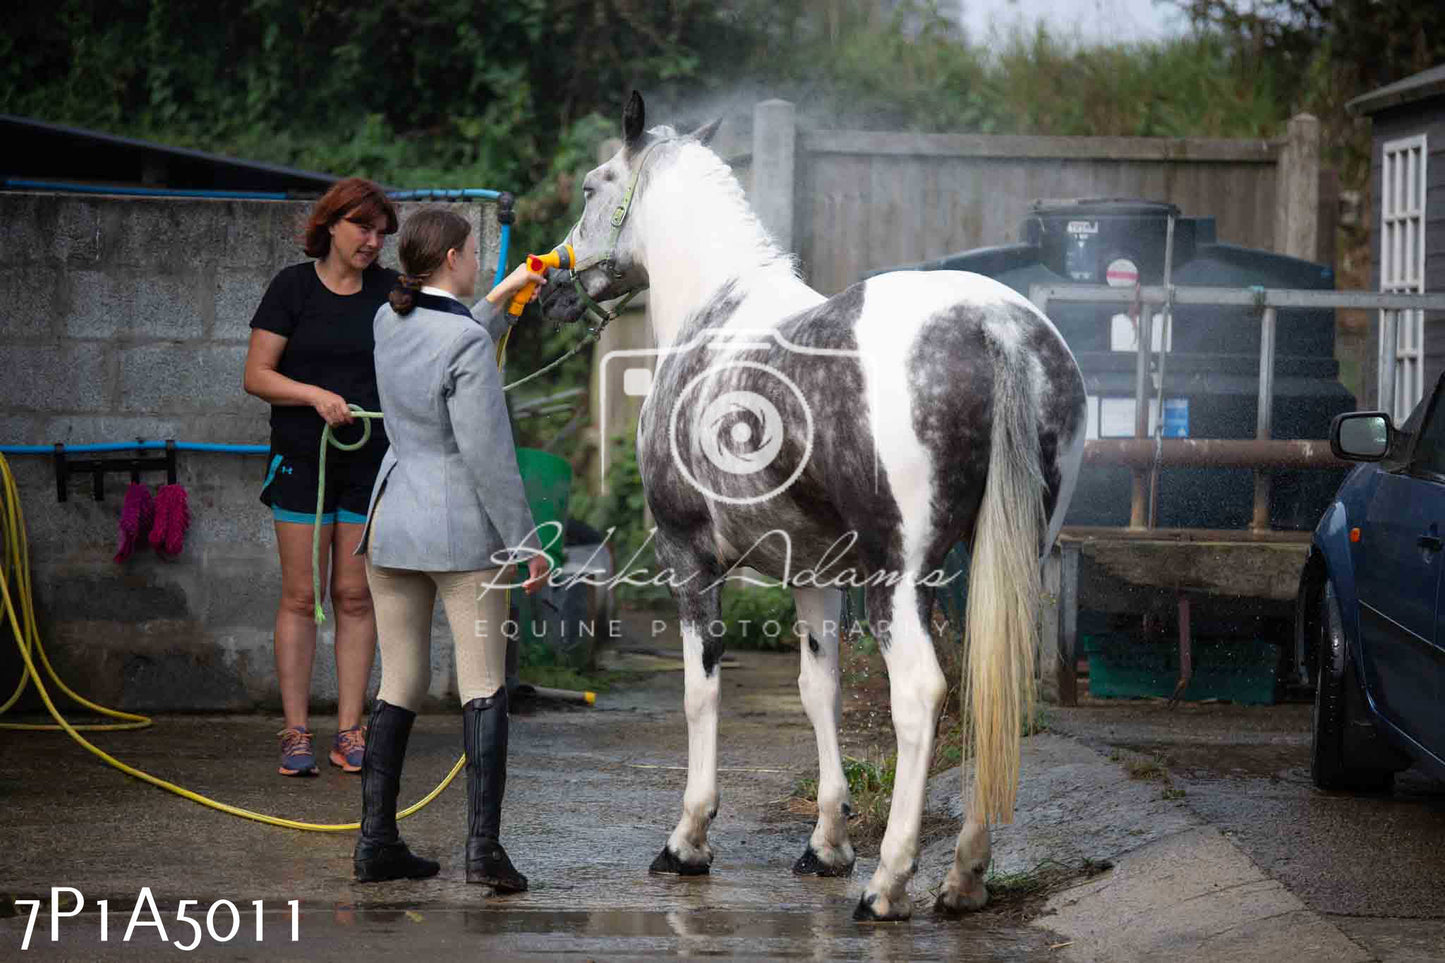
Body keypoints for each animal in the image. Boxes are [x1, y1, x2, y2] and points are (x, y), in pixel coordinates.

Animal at [543, 93, 1086, 919]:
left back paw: (890, 883)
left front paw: (688, 840)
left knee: (921, 694)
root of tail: (990, 326)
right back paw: (962, 878)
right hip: (1010, 561)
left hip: (901, 580)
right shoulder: (813, 573)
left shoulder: (688, 559)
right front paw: (826, 842)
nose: (552, 286)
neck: (716, 311)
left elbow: (701, 692)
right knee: (1000, 697)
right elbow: (816, 690)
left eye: (591, 187)